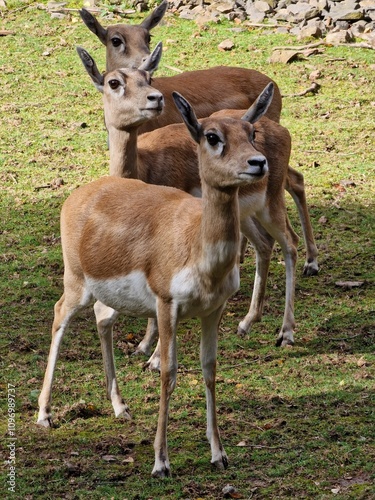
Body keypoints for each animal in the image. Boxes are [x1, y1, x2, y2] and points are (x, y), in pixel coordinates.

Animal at [38, 85, 274, 476]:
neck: (197, 246)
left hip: (106, 295)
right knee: (59, 317)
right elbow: (168, 373)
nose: (258, 163)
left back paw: (120, 407)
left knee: (103, 318)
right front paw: (161, 462)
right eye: (212, 136)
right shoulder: (167, 306)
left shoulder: (213, 310)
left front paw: (219, 454)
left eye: (251, 132)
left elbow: (209, 369)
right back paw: (44, 414)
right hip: (76, 283)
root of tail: (79, 194)